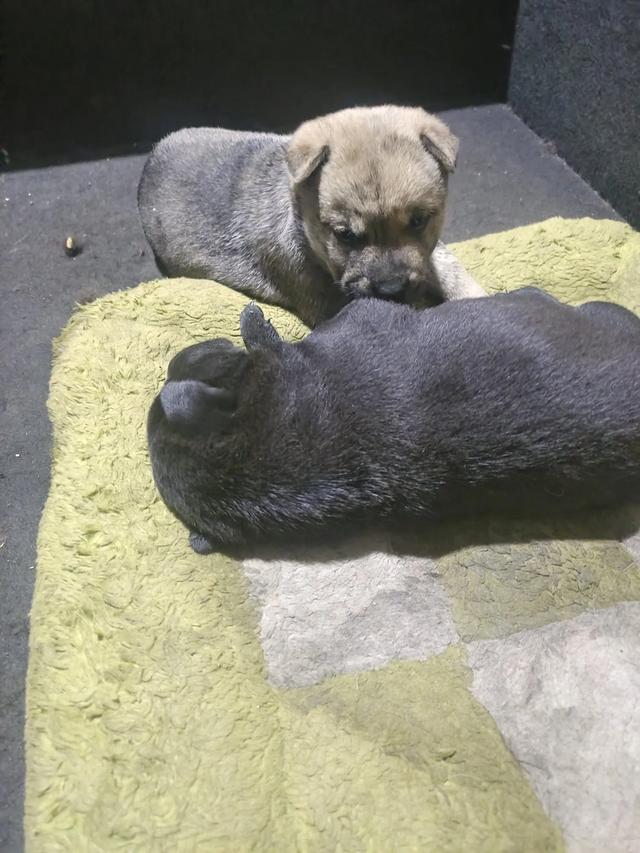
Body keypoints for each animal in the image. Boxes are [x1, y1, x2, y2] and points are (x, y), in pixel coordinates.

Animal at [138, 106, 485, 327]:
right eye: (345, 235)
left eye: (418, 221)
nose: (392, 290)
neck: (302, 228)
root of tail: (149, 160)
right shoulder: (324, 297)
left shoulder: (429, 254)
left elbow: (448, 266)